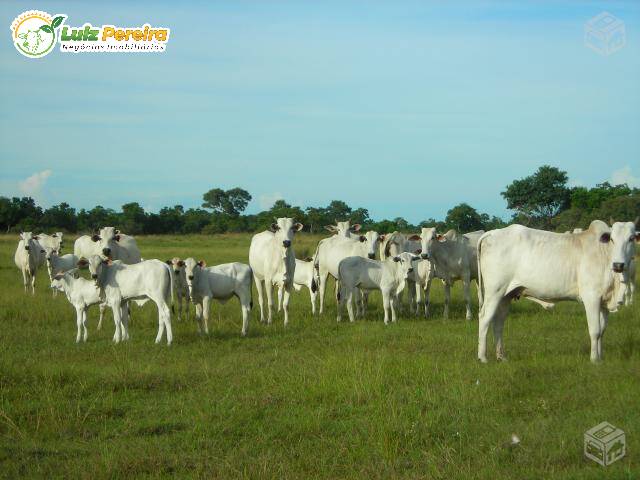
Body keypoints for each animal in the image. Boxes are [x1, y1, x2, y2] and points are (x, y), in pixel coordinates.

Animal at [476, 219, 636, 362]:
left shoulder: (604, 302)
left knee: (498, 323)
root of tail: (493, 233)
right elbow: (595, 331)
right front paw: (594, 359)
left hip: (506, 295)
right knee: (484, 318)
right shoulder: (592, 298)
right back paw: (482, 357)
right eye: (612, 239)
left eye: (631, 238)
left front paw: (601, 357)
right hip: (494, 292)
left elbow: (602, 331)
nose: (619, 264)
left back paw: (501, 357)